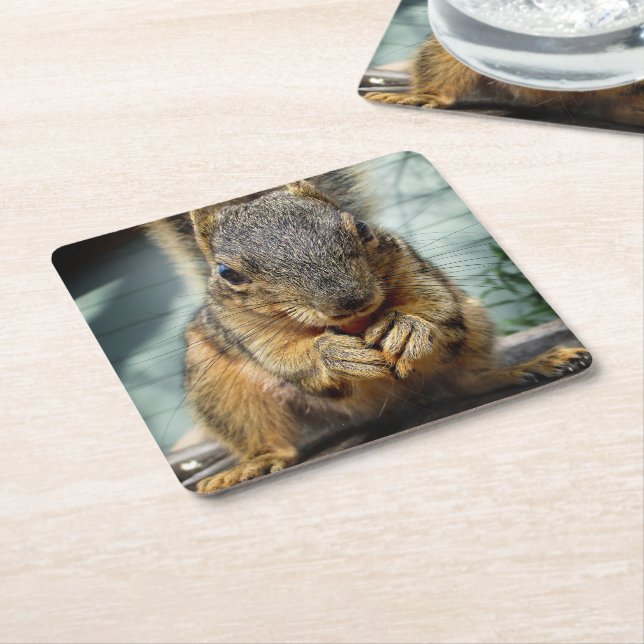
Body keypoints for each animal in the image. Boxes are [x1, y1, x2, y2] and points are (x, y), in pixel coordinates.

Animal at [149, 169, 591, 493]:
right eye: (228, 274)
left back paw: (522, 368)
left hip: (471, 324)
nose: (351, 300)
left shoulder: (409, 266)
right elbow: (285, 354)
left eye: (360, 227)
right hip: (219, 385)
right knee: (270, 442)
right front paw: (332, 355)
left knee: (465, 378)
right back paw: (253, 463)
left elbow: (431, 304)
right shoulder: (242, 328)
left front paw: (407, 327)